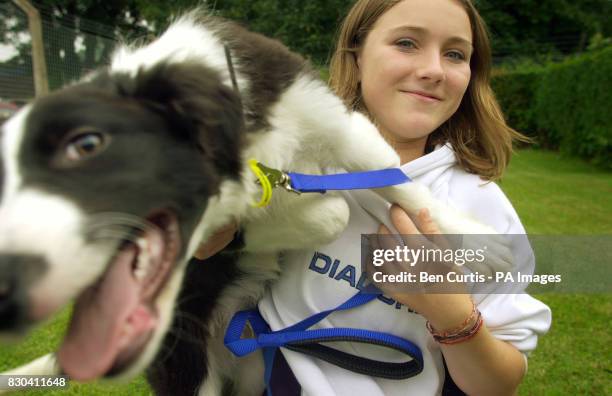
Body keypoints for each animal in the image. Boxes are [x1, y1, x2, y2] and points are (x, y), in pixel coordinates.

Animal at [0, 10, 510, 394]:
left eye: (86, 145)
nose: (9, 295)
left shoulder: (326, 116)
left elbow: (393, 179)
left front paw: (481, 244)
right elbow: (333, 211)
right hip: (187, 359)